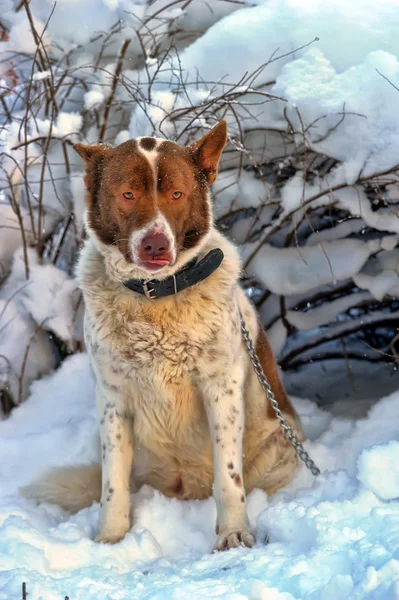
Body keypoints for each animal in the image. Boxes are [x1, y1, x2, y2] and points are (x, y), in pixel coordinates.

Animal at [23, 119, 302, 552]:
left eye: (176, 194)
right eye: (128, 194)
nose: (155, 244)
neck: (155, 297)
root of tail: (186, 487)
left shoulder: (221, 388)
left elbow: (229, 476)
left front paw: (235, 533)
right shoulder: (113, 398)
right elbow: (113, 483)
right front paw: (109, 540)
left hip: (280, 446)